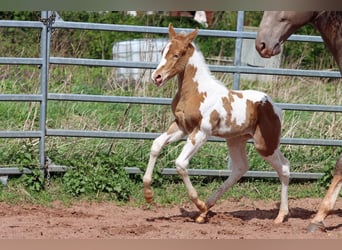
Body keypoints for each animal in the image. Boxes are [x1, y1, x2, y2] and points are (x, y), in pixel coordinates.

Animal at [143, 23, 290, 223]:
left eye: (177, 54)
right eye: (163, 51)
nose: (156, 77)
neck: (196, 92)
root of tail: (275, 107)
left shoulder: (201, 132)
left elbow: (181, 163)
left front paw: (198, 203)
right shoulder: (181, 127)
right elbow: (156, 145)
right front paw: (148, 194)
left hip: (265, 144)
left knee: (284, 168)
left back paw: (281, 216)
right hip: (236, 140)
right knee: (240, 168)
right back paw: (206, 209)